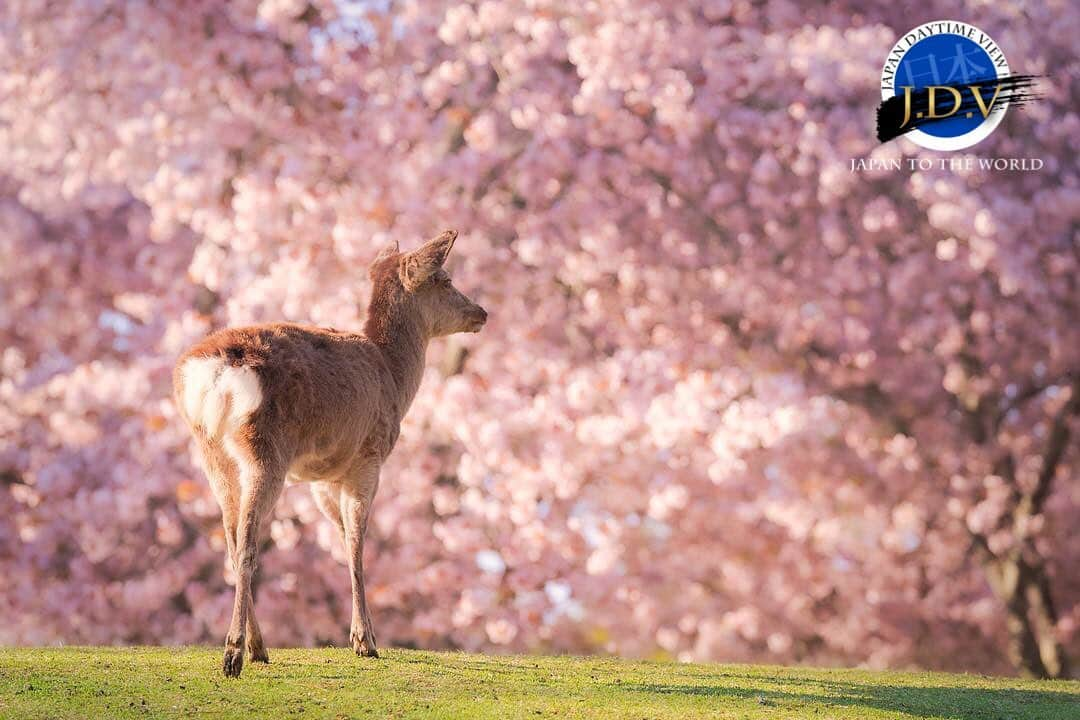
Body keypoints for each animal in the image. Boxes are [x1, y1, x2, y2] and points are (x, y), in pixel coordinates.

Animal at [171, 229, 486, 677]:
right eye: (445, 279)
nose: (481, 312)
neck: (395, 378)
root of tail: (212, 376)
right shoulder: (368, 457)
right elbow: (356, 542)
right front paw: (365, 641)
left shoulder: (322, 477)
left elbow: (340, 538)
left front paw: (363, 634)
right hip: (266, 449)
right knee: (247, 544)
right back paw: (233, 655)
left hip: (212, 454)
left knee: (231, 544)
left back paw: (258, 646)